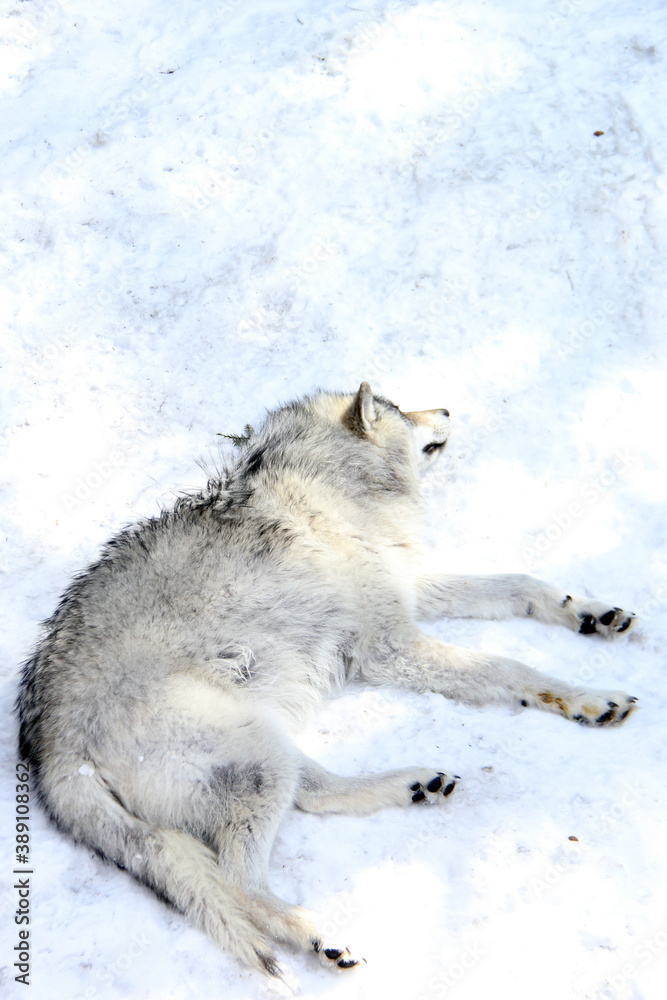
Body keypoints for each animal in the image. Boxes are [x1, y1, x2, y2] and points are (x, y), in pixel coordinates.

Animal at [16, 382, 638, 978]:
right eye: (400, 409)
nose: (447, 409)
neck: (331, 488)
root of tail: (52, 753)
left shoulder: (414, 589)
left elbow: (520, 584)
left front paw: (592, 614)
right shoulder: (391, 648)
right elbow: (506, 667)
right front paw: (592, 698)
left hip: (265, 743)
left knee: (314, 795)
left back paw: (416, 784)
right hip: (258, 756)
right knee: (240, 882)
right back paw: (323, 936)